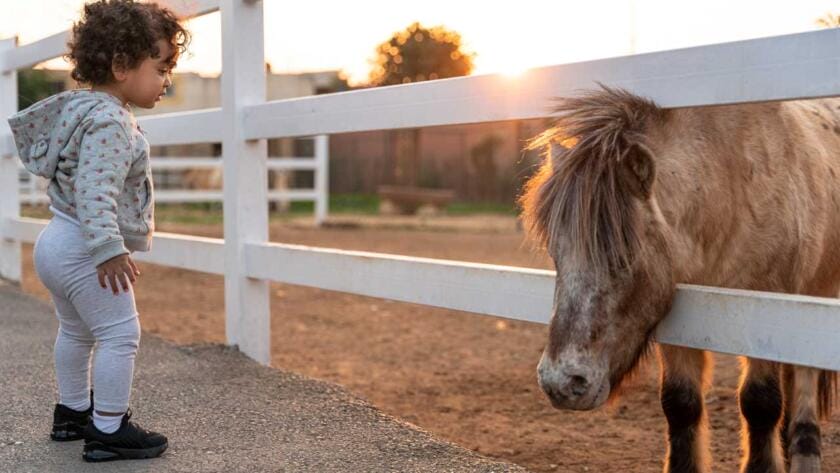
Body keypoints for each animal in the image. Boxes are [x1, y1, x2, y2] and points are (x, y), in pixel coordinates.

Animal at [520, 85, 840, 472]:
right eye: (556, 253)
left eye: (625, 257)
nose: (562, 383)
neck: (733, 189)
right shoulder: (680, 318)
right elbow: (680, 404)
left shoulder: (766, 310)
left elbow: (760, 403)